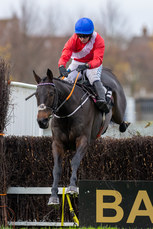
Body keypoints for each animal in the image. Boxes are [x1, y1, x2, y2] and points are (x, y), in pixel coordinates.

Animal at [33, 67, 129, 204]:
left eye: (51, 93)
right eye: (36, 94)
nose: (42, 121)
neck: (67, 113)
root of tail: (108, 72)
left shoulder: (83, 140)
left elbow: (75, 161)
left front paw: (72, 187)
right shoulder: (57, 143)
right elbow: (56, 168)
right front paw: (53, 196)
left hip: (119, 112)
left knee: (121, 121)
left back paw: (123, 124)